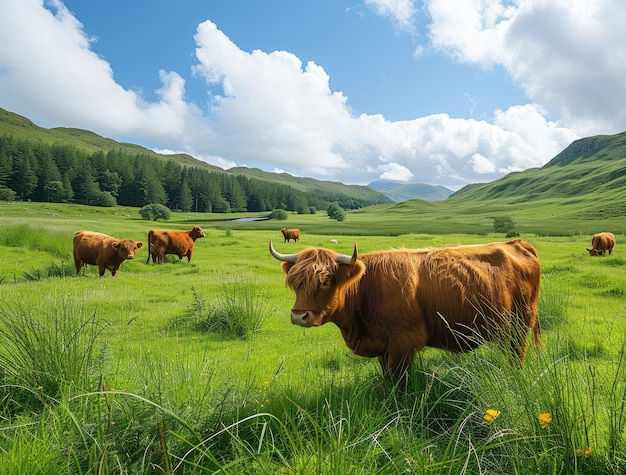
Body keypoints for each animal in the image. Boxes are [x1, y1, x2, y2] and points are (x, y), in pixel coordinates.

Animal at [270, 240, 540, 382]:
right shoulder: (382, 344)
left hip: (519, 323)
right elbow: (387, 378)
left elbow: (398, 382)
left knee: (518, 354)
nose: (299, 316)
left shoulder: (403, 341)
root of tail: (515, 243)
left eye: (325, 280)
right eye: (295, 282)